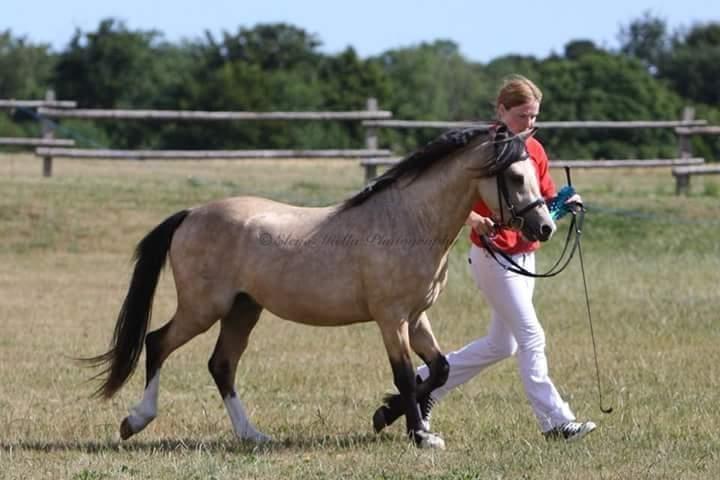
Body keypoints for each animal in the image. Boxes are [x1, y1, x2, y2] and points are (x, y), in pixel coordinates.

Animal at [84, 124, 556, 449]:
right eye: (516, 177)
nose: (544, 227)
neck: (407, 222)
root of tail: (192, 213)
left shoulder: (415, 317)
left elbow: (438, 369)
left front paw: (389, 417)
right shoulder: (390, 319)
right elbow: (405, 375)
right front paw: (419, 436)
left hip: (243, 309)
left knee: (221, 365)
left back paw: (252, 435)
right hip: (204, 308)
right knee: (158, 342)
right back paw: (136, 421)